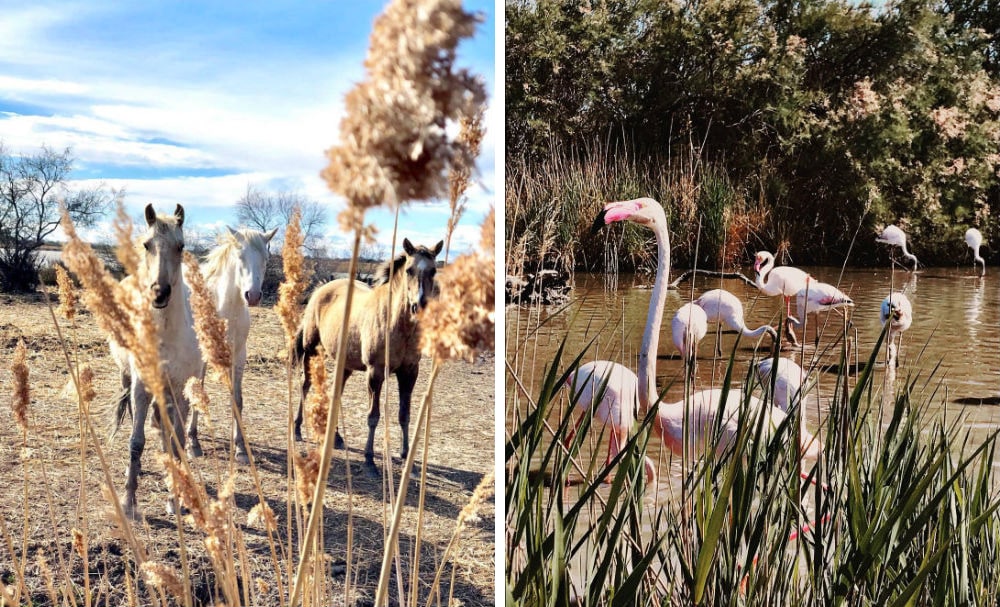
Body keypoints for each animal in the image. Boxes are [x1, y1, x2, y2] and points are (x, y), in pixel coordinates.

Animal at [109, 207, 201, 520]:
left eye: (181, 246)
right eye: (147, 244)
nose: (159, 293)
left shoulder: (179, 391)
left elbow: (178, 442)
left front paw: (175, 499)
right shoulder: (141, 389)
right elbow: (136, 443)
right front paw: (128, 502)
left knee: (166, 432)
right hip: (127, 377)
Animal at [185, 228, 276, 466]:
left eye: (266, 258)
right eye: (240, 256)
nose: (253, 295)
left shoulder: (239, 356)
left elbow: (237, 399)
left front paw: (241, 448)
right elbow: (199, 392)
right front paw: (193, 443)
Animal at [292, 240, 442, 478]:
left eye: (433, 271)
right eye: (409, 270)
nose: (419, 305)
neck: (397, 324)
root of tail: (321, 289)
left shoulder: (409, 372)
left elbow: (405, 414)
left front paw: (407, 458)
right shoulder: (375, 372)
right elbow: (373, 416)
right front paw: (369, 460)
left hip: (344, 364)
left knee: (336, 394)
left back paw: (336, 437)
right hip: (311, 350)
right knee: (305, 385)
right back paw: (297, 428)